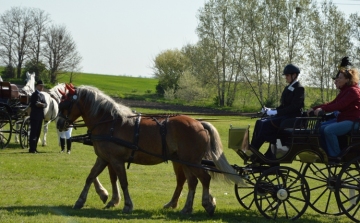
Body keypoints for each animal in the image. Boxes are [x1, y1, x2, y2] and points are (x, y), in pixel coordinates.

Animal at [57, 84, 245, 215]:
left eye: (65, 104)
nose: (59, 124)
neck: (109, 122)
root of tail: (199, 124)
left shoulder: (116, 160)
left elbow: (123, 182)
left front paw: (127, 205)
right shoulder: (104, 158)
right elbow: (91, 177)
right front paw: (81, 201)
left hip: (191, 161)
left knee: (204, 179)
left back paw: (207, 204)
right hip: (184, 161)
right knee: (192, 182)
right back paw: (186, 208)